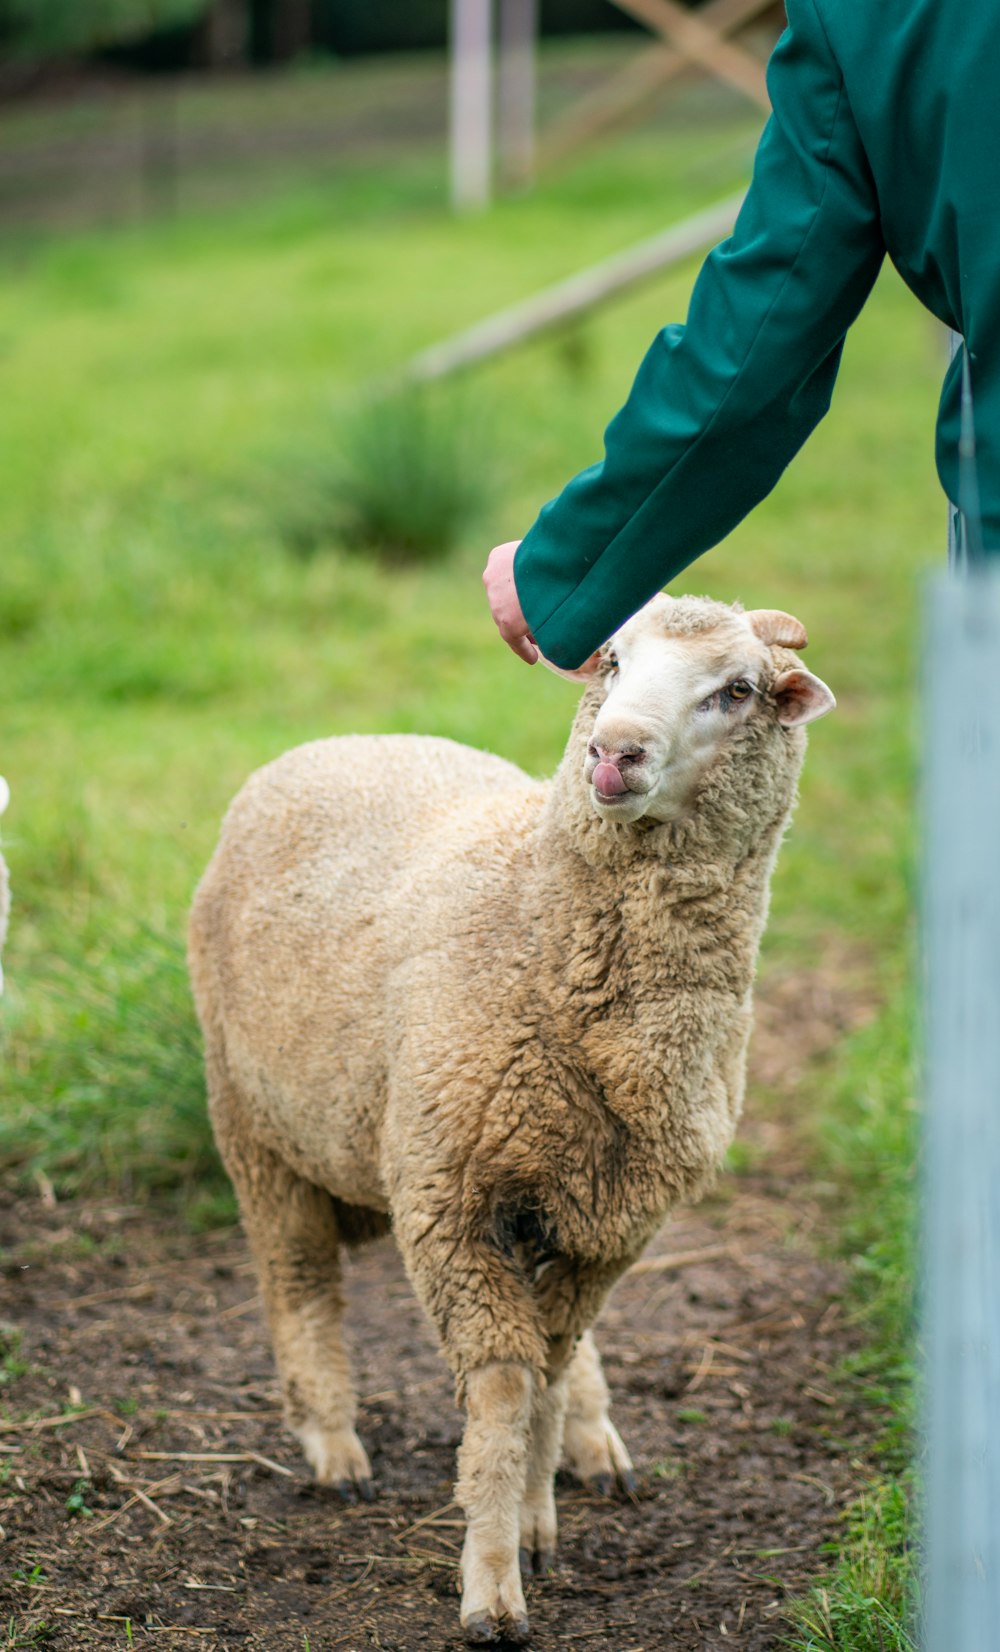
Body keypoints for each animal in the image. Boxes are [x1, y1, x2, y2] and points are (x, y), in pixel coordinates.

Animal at [189, 594, 833, 1638]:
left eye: (737, 690)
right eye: (611, 659)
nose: (612, 752)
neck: (538, 924)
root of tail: (338, 741)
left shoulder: (611, 1222)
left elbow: (550, 1369)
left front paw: (534, 1519)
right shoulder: (451, 1199)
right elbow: (503, 1387)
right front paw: (492, 1582)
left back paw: (591, 1439)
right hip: (255, 1124)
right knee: (299, 1285)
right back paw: (333, 1445)